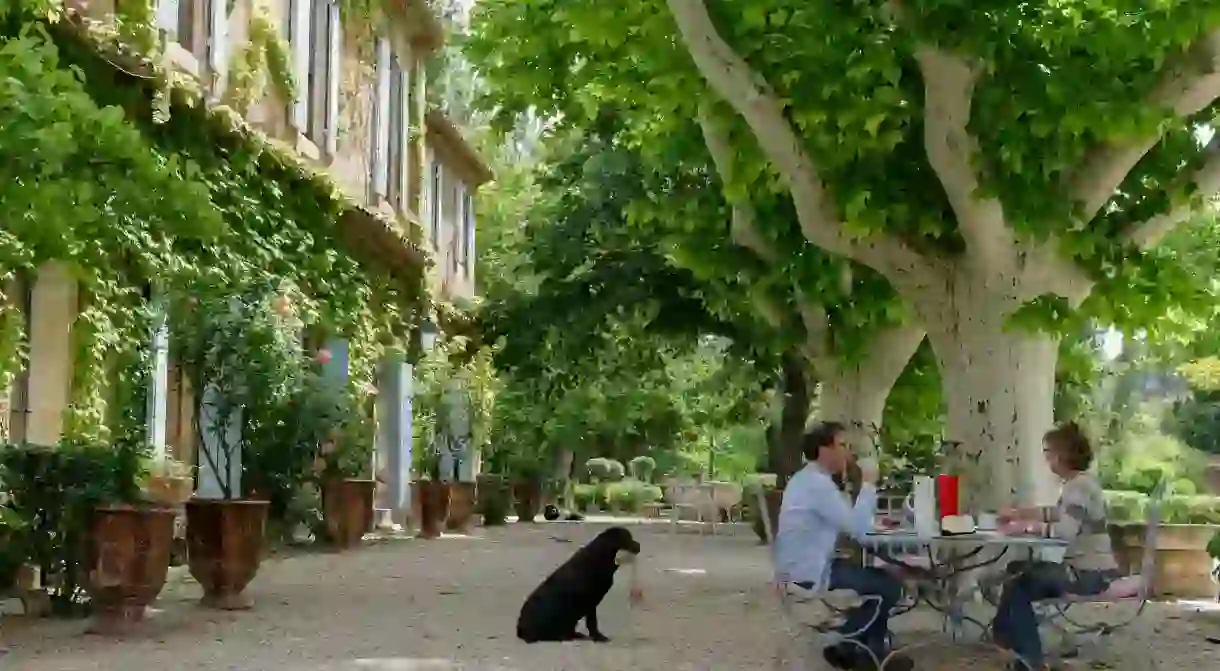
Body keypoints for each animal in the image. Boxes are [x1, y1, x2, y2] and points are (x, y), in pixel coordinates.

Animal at [514, 529, 644, 644]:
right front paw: (598, 637)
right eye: (627, 538)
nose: (639, 545)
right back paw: (564, 636)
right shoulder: (591, 602)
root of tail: (520, 629)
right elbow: (592, 622)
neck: (601, 556)